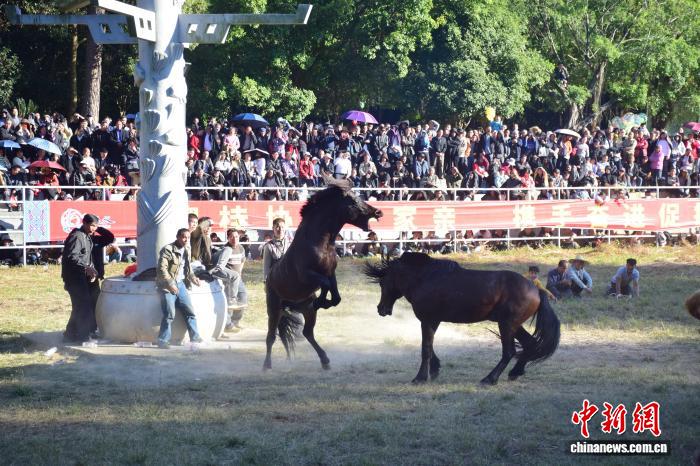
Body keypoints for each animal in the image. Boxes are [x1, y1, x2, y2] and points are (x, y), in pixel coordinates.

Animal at [264, 178, 383, 370]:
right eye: (353, 200)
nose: (378, 212)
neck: (320, 242)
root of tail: (269, 279)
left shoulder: (330, 272)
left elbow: (336, 296)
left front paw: (323, 302)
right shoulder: (307, 275)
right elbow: (325, 285)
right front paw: (321, 301)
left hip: (305, 311)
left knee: (307, 333)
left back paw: (325, 360)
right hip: (274, 308)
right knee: (271, 336)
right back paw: (266, 365)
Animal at [364, 252, 560, 385]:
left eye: (383, 283)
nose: (381, 309)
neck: (425, 278)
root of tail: (537, 290)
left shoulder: (427, 320)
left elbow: (425, 348)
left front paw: (420, 378)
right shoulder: (433, 321)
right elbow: (430, 346)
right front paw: (434, 370)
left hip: (507, 324)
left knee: (509, 351)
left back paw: (490, 379)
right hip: (513, 325)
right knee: (529, 344)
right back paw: (515, 372)